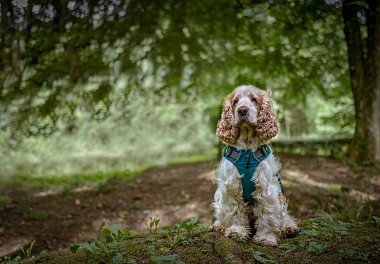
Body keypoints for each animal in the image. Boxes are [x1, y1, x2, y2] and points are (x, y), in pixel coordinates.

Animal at [211, 84, 300, 245]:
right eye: (235, 101)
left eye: (254, 99)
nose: (242, 110)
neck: (247, 150)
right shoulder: (231, 186)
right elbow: (235, 212)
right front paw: (236, 231)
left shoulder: (266, 188)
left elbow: (267, 215)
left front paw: (266, 237)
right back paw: (219, 226)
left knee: (284, 217)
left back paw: (289, 228)